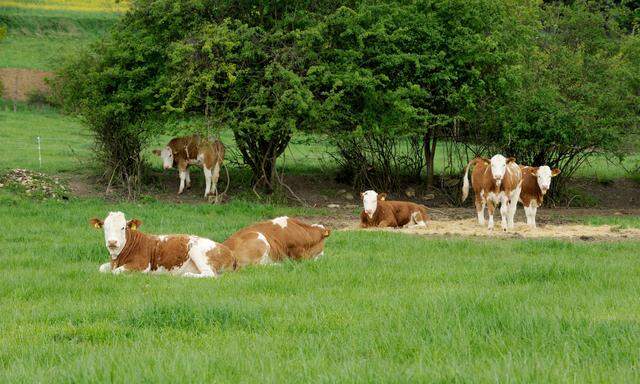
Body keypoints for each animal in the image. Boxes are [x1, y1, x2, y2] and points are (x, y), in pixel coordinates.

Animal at [89, 212, 235, 278]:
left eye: (123, 227)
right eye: (105, 228)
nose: (112, 242)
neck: (118, 257)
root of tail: (229, 251)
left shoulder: (142, 265)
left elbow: (116, 272)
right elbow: (102, 268)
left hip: (197, 251)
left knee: (210, 274)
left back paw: (186, 275)